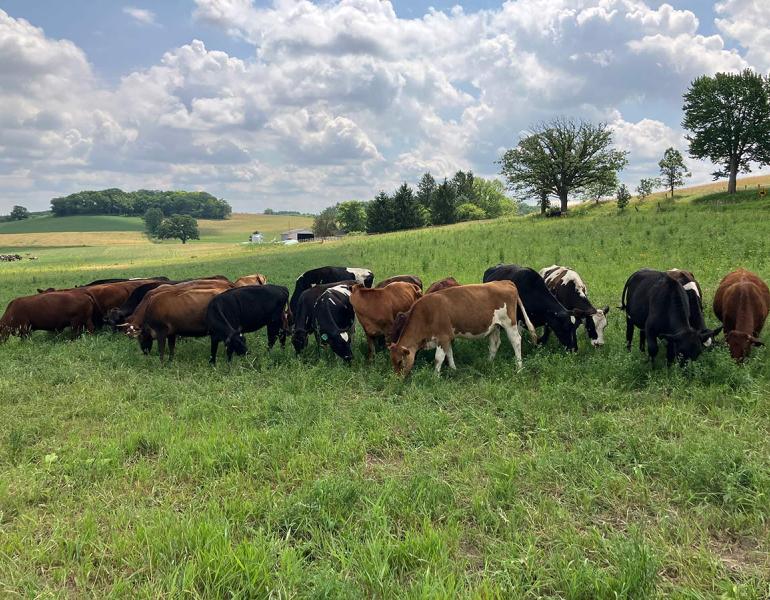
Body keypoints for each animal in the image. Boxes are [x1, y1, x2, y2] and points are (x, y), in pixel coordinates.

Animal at [388, 281, 537, 376]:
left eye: (400, 362)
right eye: (393, 362)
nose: (398, 379)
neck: (426, 314)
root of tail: (506, 282)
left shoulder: (443, 337)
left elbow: (438, 358)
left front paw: (435, 376)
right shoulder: (447, 337)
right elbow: (449, 354)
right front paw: (454, 369)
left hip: (509, 322)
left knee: (516, 341)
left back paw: (519, 368)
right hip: (494, 325)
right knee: (494, 343)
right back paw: (488, 362)